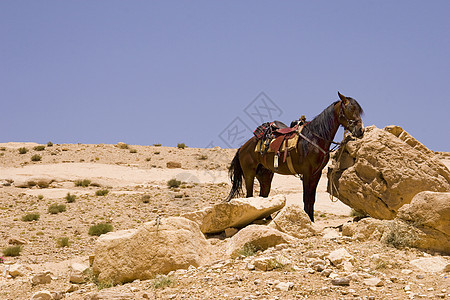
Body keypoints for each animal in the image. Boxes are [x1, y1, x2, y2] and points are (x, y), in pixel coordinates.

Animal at [227, 92, 364, 221]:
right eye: (351, 109)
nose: (360, 130)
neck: (314, 138)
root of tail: (243, 147)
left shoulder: (316, 173)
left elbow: (312, 199)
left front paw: (311, 220)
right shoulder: (307, 172)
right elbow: (306, 198)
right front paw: (308, 219)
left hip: (265, 174)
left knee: (263, 195)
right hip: (249, 173)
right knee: (249, 195)